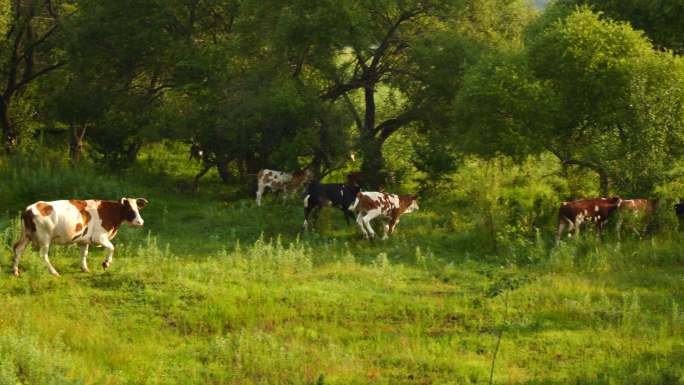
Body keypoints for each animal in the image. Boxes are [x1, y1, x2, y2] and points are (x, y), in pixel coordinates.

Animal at [12, 196, 148, 274]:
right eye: (130, 209)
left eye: (138, 209)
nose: (140, 222)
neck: (108, 211)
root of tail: (28, 210)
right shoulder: (99, 237)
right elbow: (111, 248)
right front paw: (106, 263)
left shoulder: (84, 240)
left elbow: (84, 254)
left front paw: (84, 268)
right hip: (44, 238)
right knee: (43, 255)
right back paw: (54, 272)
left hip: (26, 235)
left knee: (18, 249)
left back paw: (15, 271)